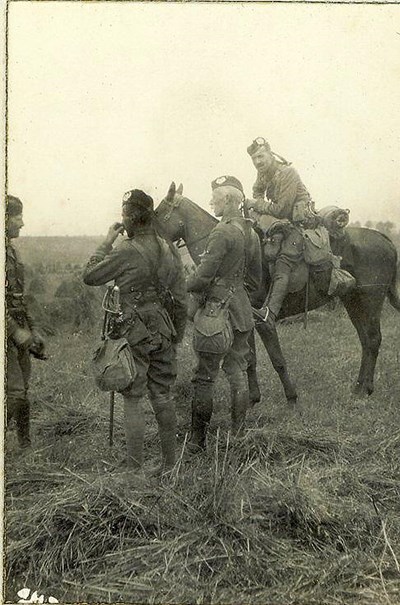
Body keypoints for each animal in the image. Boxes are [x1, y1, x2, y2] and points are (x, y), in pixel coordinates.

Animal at [155, 182, 400, 404]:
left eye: (157, 212)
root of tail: (386, 239)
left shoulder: (261, 323)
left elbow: (277, 359)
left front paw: (291, 396)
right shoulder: (246, 321)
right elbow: (250, 360)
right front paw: (253, 398)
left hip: (370, 301)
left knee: (372, 339)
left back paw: (363, 390)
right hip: (353, 302)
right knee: (366, 341)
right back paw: (361, 387)